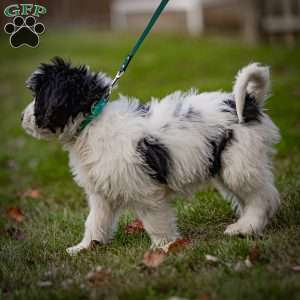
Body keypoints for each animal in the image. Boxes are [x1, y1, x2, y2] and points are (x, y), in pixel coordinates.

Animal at [21, 57, 282, 254]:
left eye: (38, 95)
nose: (21, 118)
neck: (92, 122)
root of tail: (248, 102)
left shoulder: (146, 192)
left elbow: (155, 222)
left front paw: (164, 248)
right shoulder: (102, 193)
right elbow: (95, 220)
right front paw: (84, 247)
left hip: (239, 164)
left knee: (262, 197)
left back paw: (247, 227)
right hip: (229, 165)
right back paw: (245, 225)